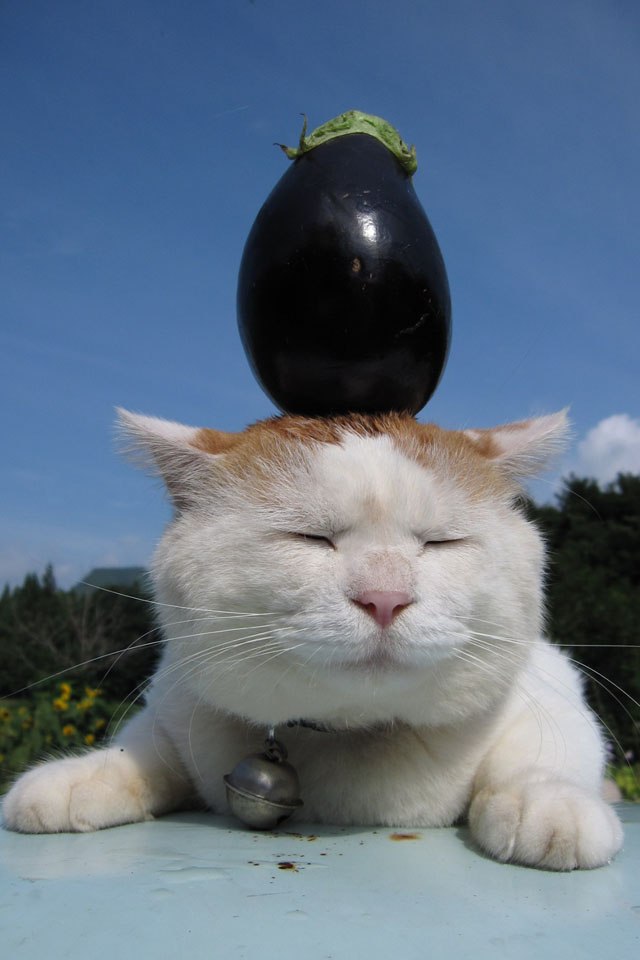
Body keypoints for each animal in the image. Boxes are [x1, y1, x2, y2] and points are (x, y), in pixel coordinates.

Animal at [2, 408, 623, 870]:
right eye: (310, 538)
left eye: (441, 543)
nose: (384, 598)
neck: (352, 739)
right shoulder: (177, 702)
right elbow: (143, 748)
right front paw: (78, 777)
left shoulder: (553, 685)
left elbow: (544, 751)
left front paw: (547, 802)